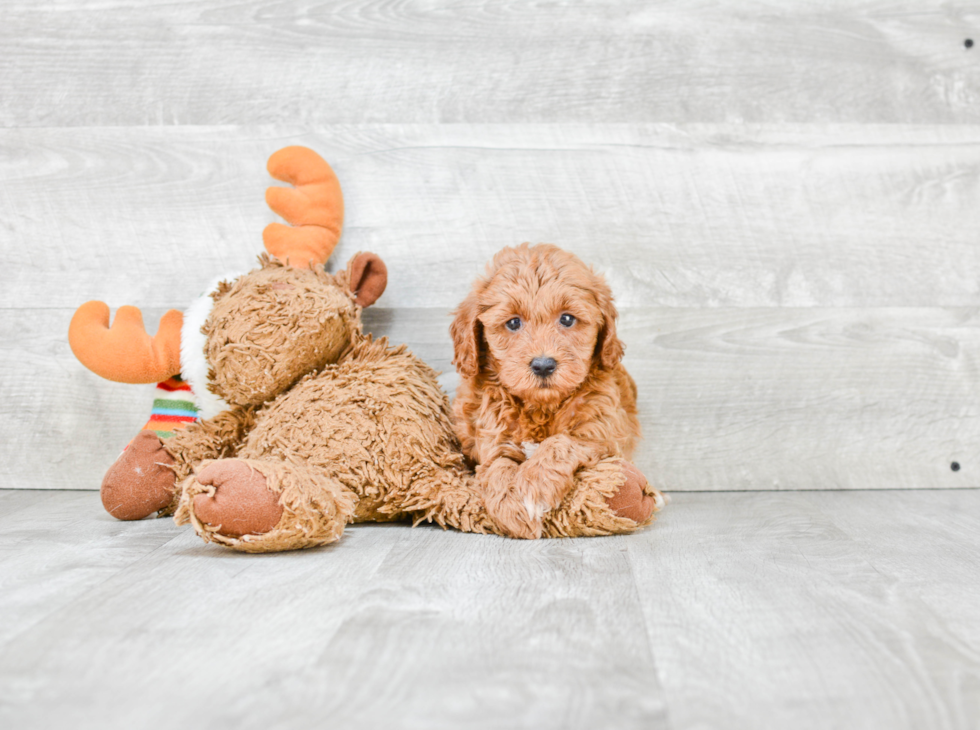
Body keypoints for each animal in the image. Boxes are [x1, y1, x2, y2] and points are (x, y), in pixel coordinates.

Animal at [450, 243, 660, 536]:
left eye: (567, 319)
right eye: (513, 323)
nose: (543, 365)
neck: (541, 405)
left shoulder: (602, 432)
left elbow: (559, 442)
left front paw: (533, 488)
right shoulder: (492, 431)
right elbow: (498, 464)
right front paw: (514, 507)